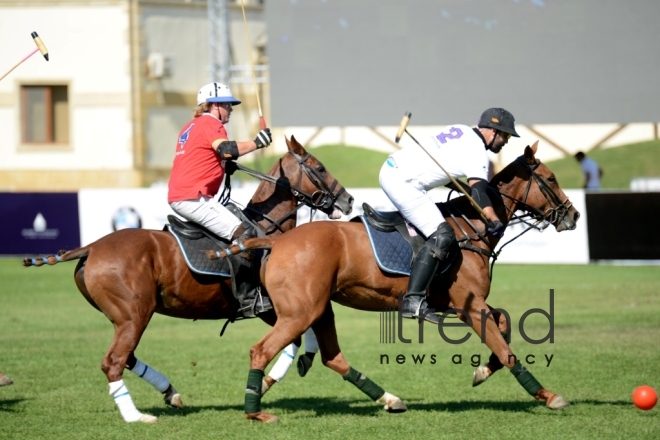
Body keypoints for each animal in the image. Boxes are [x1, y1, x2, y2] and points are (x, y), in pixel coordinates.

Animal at [23, 137, 356, 422]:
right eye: (320, 167)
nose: (349, 201)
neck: (267, 230)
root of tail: (91, 246)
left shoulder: (283, 307)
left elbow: (302, 335)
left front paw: (291, 368)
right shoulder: (270, 306)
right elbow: (298, 335)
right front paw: (269, 381)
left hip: (123, 317)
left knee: (126, 356)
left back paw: (170, 393)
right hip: (134, 314)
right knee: (114, 361)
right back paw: (136, 416)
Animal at [224, 143, 580, 422]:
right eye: (551, 179)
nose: (573, 215)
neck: (471, 228)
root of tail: (276, 242)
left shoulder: (465, 303)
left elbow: (504, 324)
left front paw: (482, 372)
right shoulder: (469, 305)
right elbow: (506, 350)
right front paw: (549, 396)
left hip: (318, 310)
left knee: (331, 356)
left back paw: (388, 399)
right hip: (300, 313)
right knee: (261, 350)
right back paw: (255, 410)